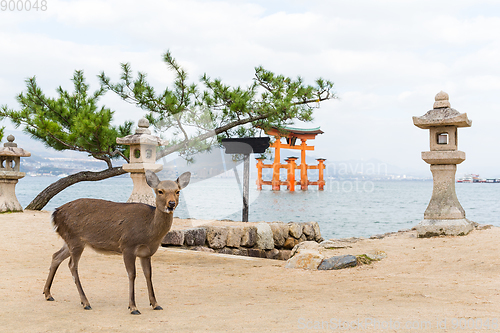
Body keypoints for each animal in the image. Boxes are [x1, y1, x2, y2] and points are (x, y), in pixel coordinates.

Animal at [42, 170, 189, 312]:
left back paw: (48, 294)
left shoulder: (146, 253)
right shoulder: (128, 246)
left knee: (56, 256)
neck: (150, 231)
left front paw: (155, 304)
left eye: (177, 191)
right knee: (72, 265)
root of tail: (55, 214)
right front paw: (133, 307)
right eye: (160, 191)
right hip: (75, 239)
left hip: (70, 241)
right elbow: (132, 274)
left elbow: (148, 274)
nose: (171, 204)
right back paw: (85, 302)